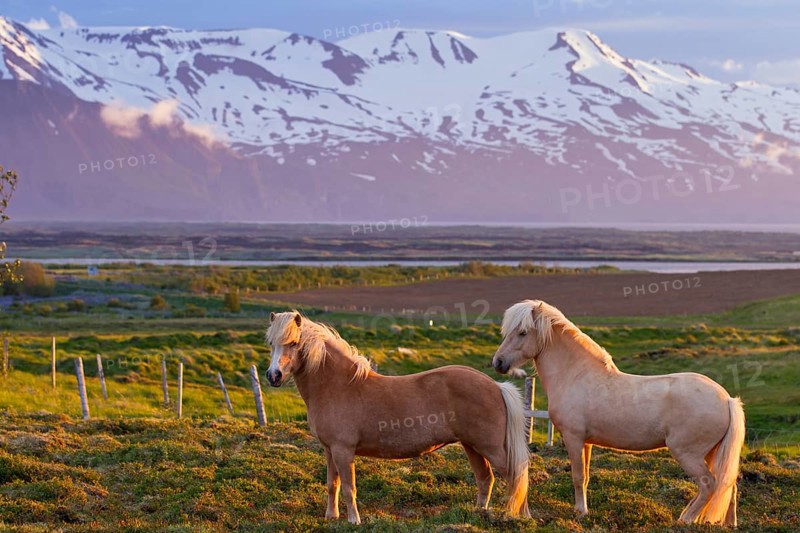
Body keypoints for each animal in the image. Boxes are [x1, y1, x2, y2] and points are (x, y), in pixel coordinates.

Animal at [265, 311, 531, 524]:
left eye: (293, 343)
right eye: (271, 343)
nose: (272, 376)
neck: (339, 386)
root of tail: (496, 386)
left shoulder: (343, 450)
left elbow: (349, 487)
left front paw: (354, 521)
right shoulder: (329, 450)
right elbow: (333, 484)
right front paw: (331, 516)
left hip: (490, 447)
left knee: (516, 475)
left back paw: (520, 516)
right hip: (472, 446)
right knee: (486, 478)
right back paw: (480, 514)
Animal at [491, 300, 745, 527]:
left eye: (522, 332)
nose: (498, 362)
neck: (575, 375)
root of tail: (726, 399)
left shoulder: (573, 438)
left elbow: (577, 476)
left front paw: (580, 513)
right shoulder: (586, 442)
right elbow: (585, 477)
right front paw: (583, 509)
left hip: (688, 454)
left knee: (709, 484)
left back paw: (687, 519)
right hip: (712, 453)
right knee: (727, 484)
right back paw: (728, 523)